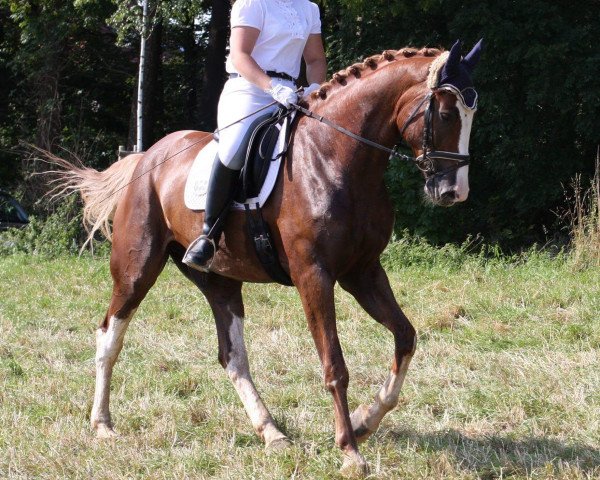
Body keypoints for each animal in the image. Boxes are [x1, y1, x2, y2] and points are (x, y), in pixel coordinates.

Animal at [51, 39, 482, 474]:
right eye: (447, 114)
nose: (454, 192)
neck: (336, 157)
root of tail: (147, 157)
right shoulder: (314, 275)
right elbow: (335, 365)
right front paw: (349, 451)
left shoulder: (363, 272)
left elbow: (405, 337)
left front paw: (364, 422)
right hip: (136, 270)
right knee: (110, 335)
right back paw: (102, 424)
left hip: (220, 279)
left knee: (232, 356)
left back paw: (272, 433)